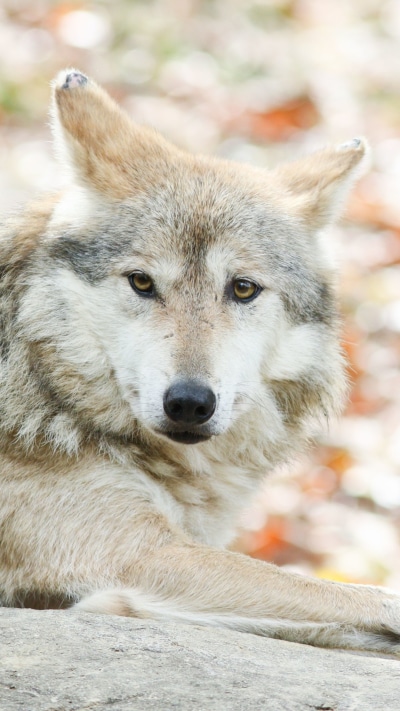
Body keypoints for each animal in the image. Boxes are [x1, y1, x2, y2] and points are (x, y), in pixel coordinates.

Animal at [0, 68, 399, 654]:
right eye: (142, 282)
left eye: (243, 288)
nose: (189, 403)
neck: (43, 383)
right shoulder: (133, 554)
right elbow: (348, 595)